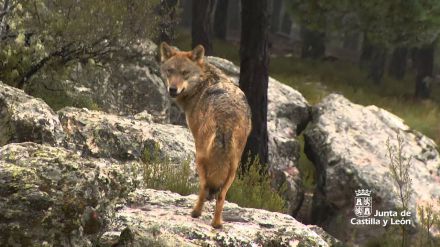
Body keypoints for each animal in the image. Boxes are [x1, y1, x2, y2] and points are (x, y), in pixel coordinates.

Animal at [160, 42, 253, 228]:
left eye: (185, 73)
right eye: (170, 71)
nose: (172, 89)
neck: (202, 83)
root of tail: (227, 117)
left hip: (200, 157)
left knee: (203, 187)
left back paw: (195, 213)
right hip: (234, 168)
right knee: (221, 195)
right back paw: (217, 224)